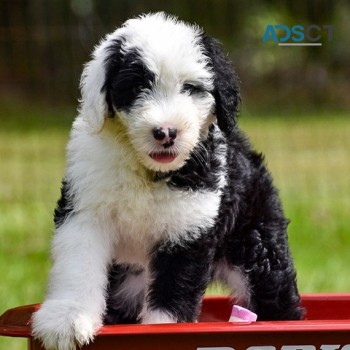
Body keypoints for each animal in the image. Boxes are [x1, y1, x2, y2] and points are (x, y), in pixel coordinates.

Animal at [31, 12, 302, 350]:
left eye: (191, 88)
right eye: (137, 86)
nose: (166, 132)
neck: (146, 171)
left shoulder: (188, 226)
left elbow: (172, 294)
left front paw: (162, 330)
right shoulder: (85, 209)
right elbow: (78, 264)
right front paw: (67, 320)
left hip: (257, 248)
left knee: (275, 294)